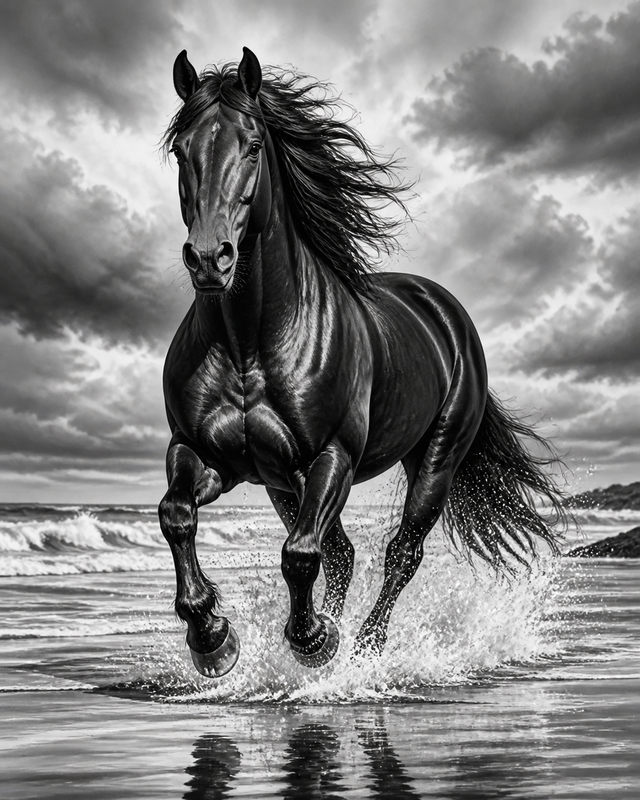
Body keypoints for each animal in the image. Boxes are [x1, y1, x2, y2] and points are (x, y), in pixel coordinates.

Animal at [158, 47, 565, 678]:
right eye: (182, 150)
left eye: (253, 145)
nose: (209, 258)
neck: (249, 341)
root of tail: (446, 312)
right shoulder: (205, 454)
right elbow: (176, 514)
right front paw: (213, 638)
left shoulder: (333, 457)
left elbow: (300, 555)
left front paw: (314, 641)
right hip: (282, 482)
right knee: (344, 552)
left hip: (436, 457)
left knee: (400, 553)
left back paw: (366, 648)